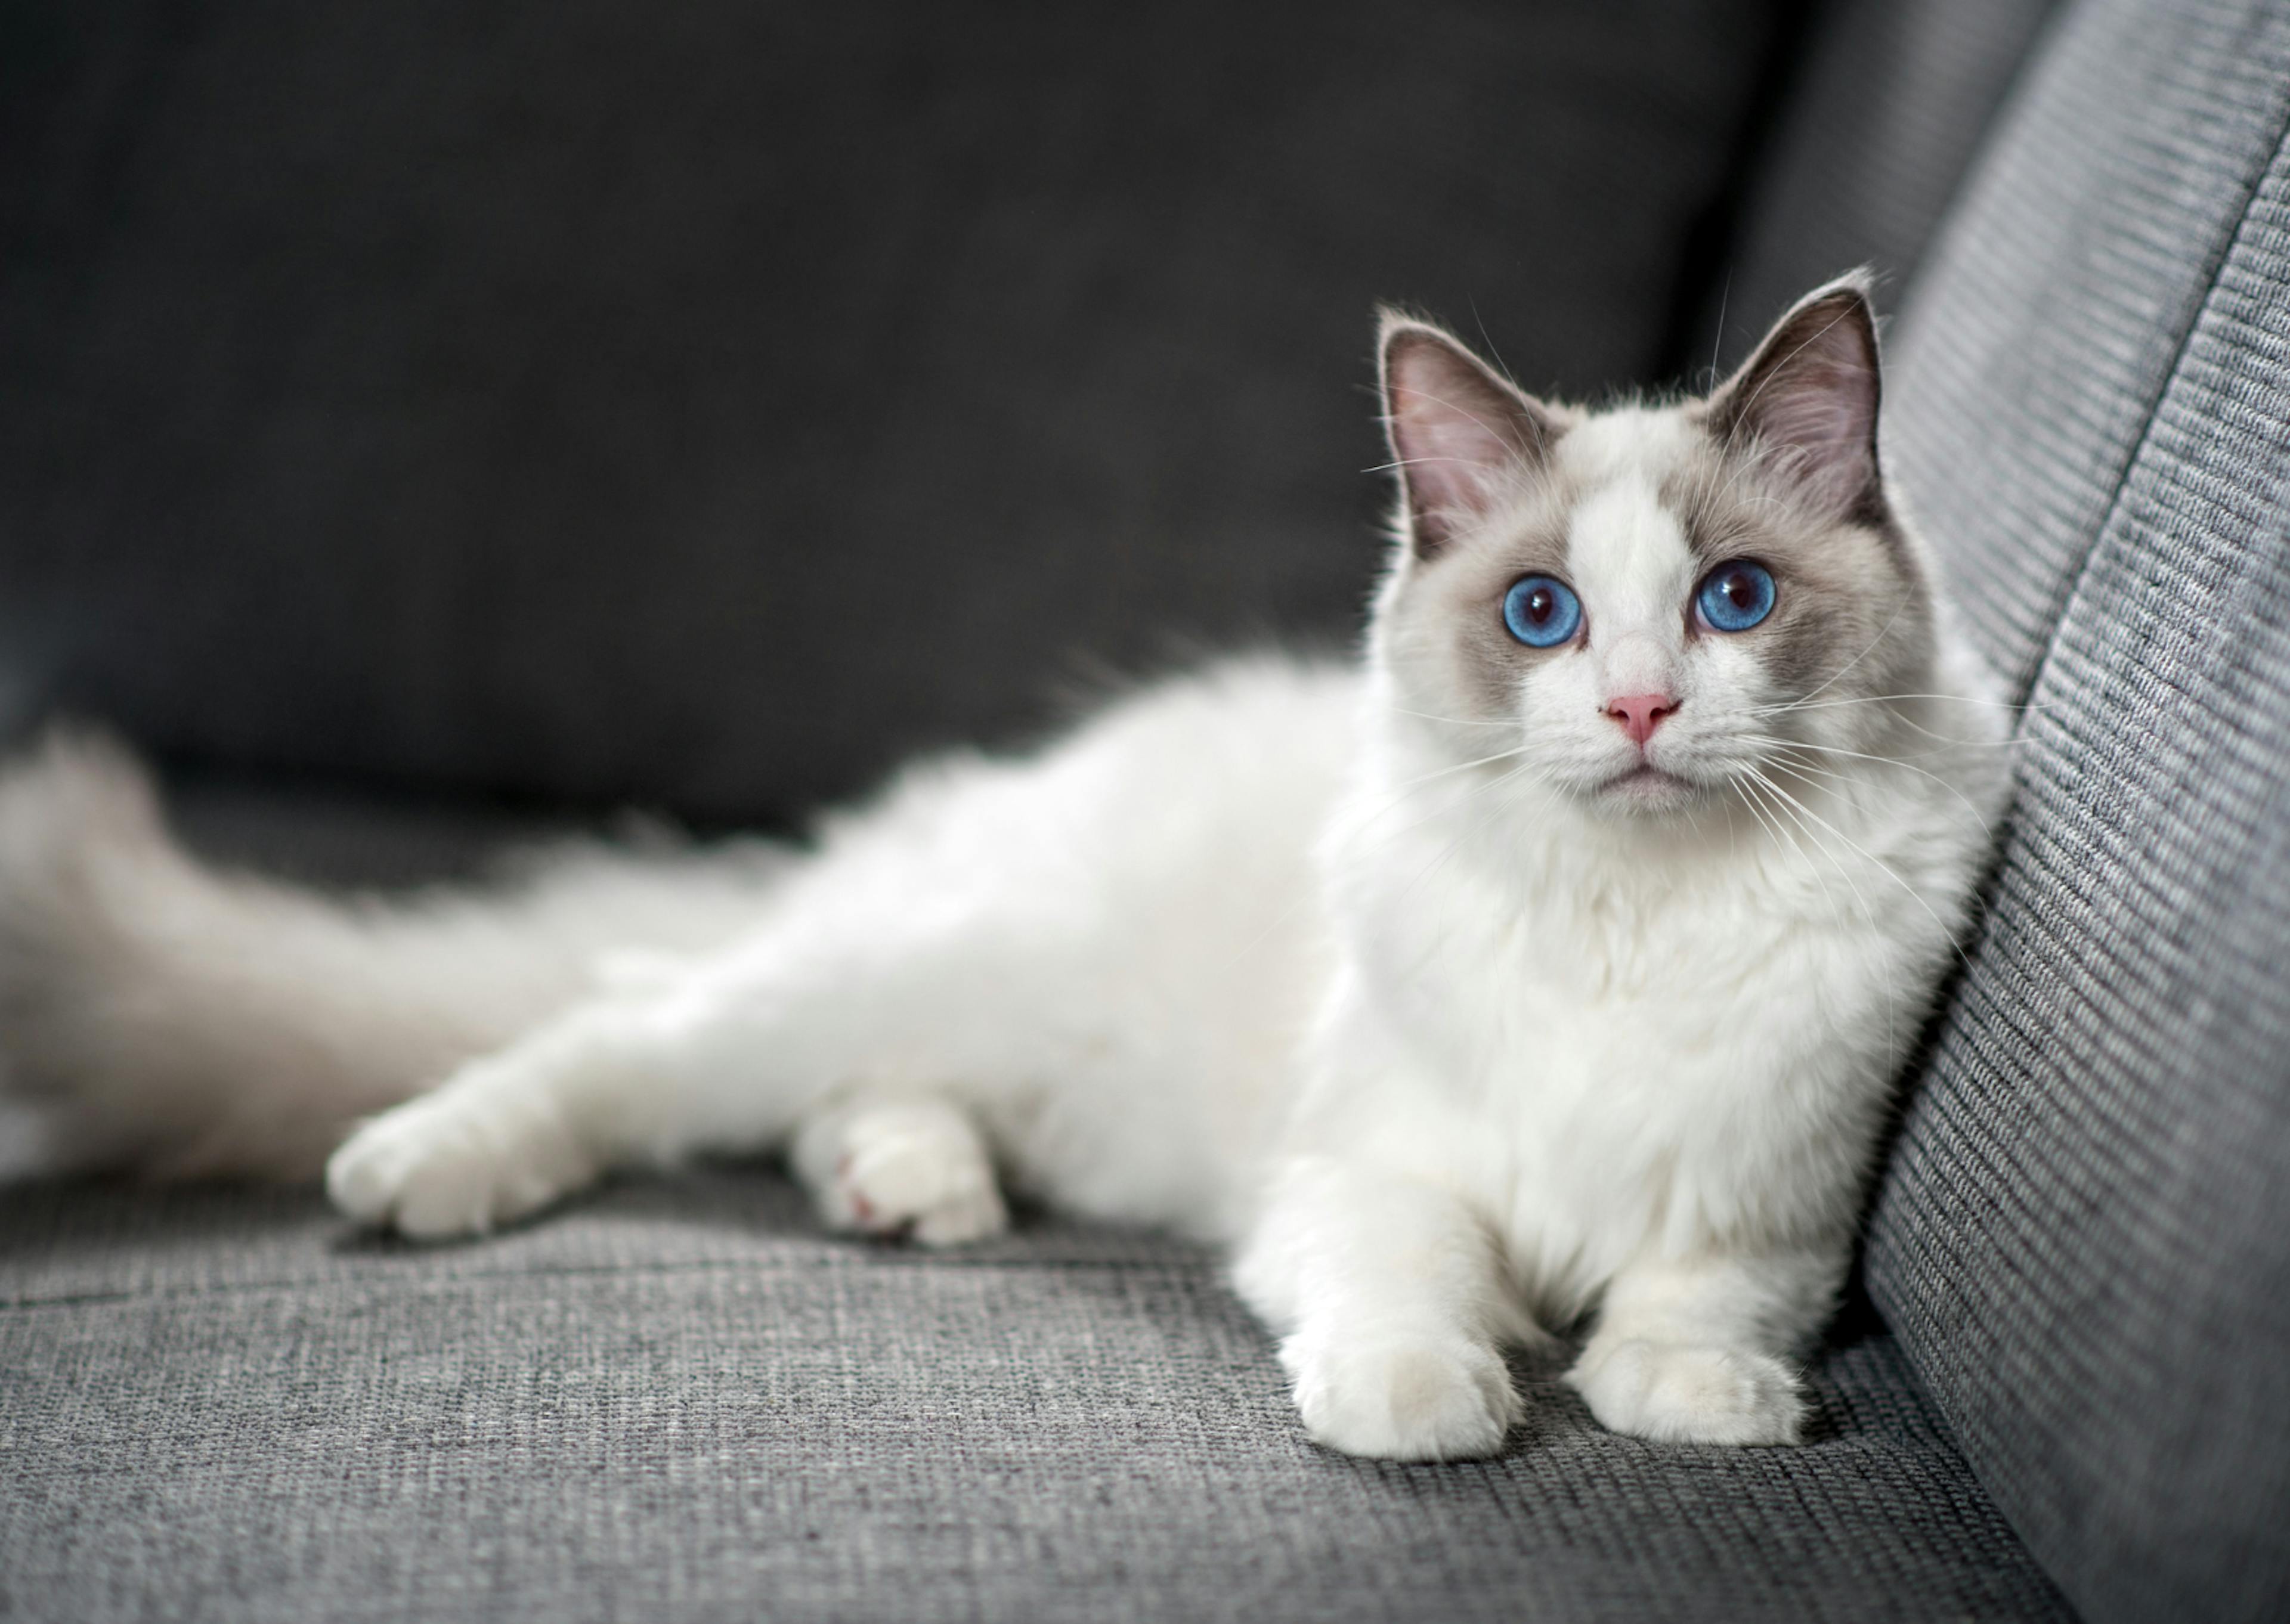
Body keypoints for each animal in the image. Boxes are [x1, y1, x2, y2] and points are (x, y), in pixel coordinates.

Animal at [0, 275, 2006, 1456]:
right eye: (1541, 616)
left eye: (1730, 599)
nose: (1645, 705)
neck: (1634, 924)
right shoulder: (1363, 1162)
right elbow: (1413, 1270)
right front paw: (1420, 1399)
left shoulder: (1771, 1207)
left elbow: (1694, 1300)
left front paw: (1695, 1401)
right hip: (915, 959)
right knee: (628, 1031)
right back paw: (415, 1170)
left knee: (823, 1091)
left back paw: (909, 1191)